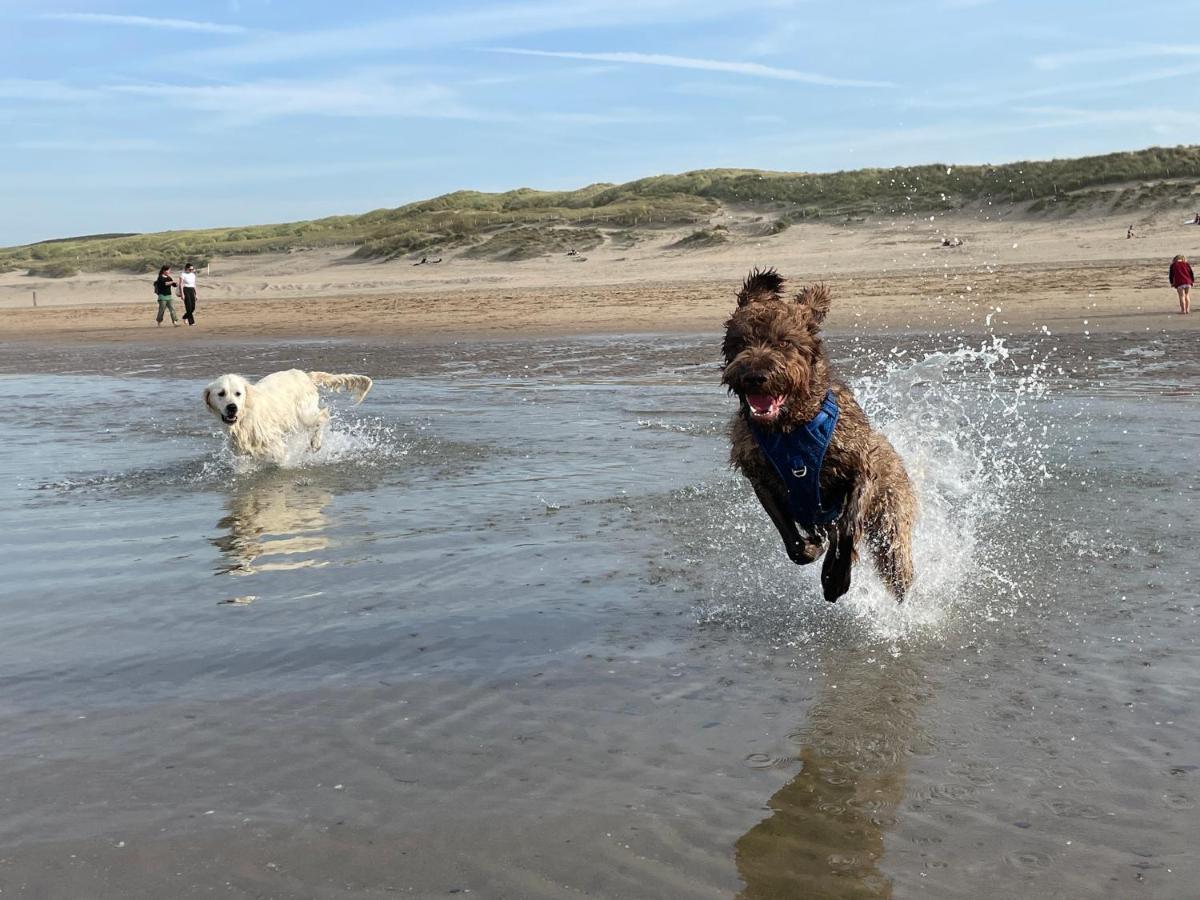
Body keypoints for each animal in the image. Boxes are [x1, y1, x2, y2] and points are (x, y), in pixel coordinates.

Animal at [201, 367, 372, 460]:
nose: (232, 407)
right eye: (221, 393)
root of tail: (305, 375)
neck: (244, 419)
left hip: (304, 414)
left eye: (238, 393)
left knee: (324, 416)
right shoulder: (241, 454)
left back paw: (315, 443)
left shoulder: (275, 445)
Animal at [720, 270, 916, 607]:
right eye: (740, 342)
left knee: (895, 560)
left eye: (785, 341)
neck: (790, 431)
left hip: (891, 512)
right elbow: (791, 537)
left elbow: (847, 526)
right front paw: (811, 549)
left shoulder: (858, 464)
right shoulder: (760, 474)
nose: (754, 376)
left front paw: (835, 577)